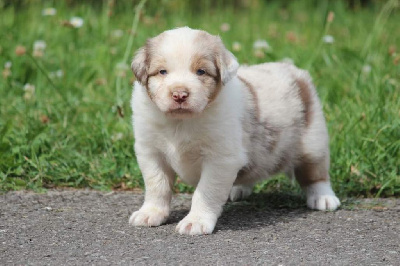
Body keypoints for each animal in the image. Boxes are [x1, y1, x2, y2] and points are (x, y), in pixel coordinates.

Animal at [129, 26, 340, 235]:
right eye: (162, 71)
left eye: (201, 71)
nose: (179, 94)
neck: (180, 123)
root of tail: (295, 71)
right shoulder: (151, 152)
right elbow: (157, 186)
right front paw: (150, 213)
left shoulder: (220, 159)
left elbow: (205, 191)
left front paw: (195, 221)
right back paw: (238, 188)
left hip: (314, 141)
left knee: (316, 174)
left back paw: (324, 198)